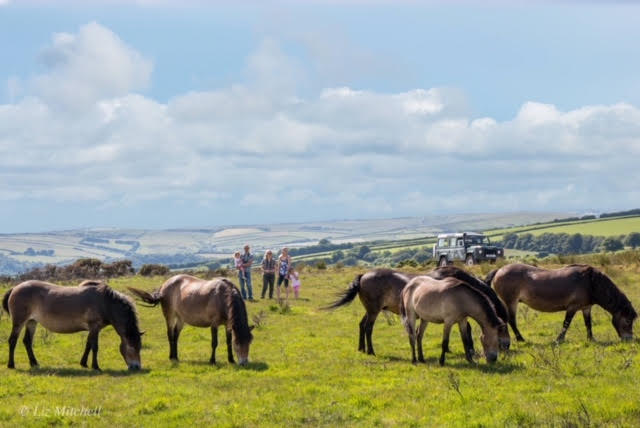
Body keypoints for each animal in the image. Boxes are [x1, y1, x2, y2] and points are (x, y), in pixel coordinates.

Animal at [2, 280, 144, 370]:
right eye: (131, 347)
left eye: (140, 347)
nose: (136, 367)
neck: (105, 302)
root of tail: (15, 288)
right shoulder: (95, 327)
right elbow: (95, 347)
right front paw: (96, 366)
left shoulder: (93, 329)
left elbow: (88, 344)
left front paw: (84, 363)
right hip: (19, 322)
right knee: (12, 340)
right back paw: (11, 365)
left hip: (31, 322)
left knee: (27, 341)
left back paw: (34, 363)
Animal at [488, 262, 636, 342]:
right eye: (628, 320)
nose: (629, 339)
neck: (591, 283)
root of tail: (499, 270)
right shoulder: (572, 307)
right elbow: (566, 323)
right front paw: (559, 339)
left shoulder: (586, 308)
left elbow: (588, 324)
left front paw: (591, 339)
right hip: (511, 302)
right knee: (512, 320)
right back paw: (520, 339)